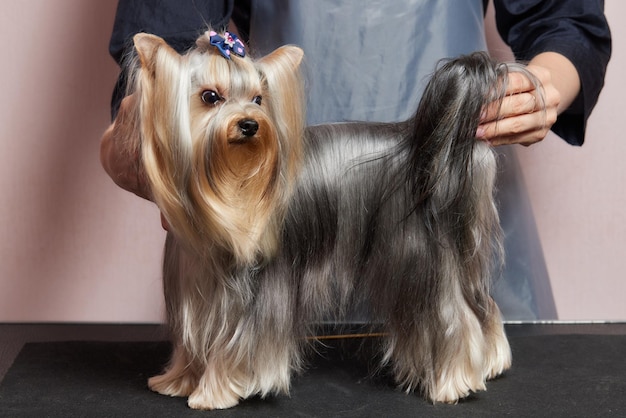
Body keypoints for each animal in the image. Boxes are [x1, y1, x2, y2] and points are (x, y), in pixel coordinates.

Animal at [100, 30, 540, 412]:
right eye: (210, 97)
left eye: (258, 99)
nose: (250, 124)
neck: (224, 191)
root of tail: (426, 142)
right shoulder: (195, 283)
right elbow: (193, 342)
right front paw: (178, 380)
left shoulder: (253, 295)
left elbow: (239, 345)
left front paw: (214, 392)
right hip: (456, 248)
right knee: (480, 303)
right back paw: (491, 362)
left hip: (418, 257)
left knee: (450, 315)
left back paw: (452, 382)